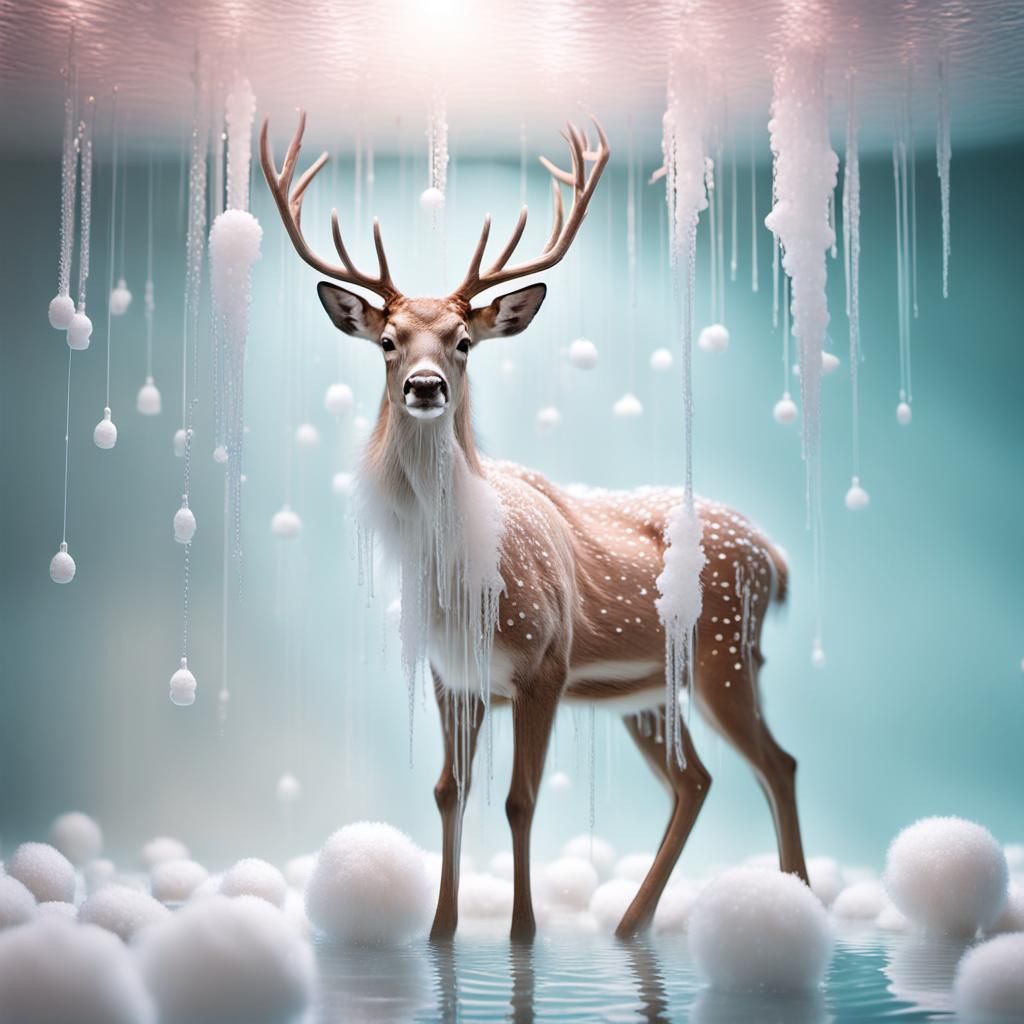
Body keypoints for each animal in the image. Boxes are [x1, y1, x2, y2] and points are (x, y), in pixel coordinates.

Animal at [260, 112, 809, 943]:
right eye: (387, 341)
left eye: (463, 340)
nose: (426, 386)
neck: (461, 578)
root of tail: (774, 555)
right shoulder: (452, 675)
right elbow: (447, 792)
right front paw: (440, 933)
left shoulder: (544, 659)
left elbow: (521, 800)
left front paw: (523, 937)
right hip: (650, 691)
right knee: (696, 780)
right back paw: (630, 924)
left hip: (724, 652)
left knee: (777, 764)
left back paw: (801, 907)